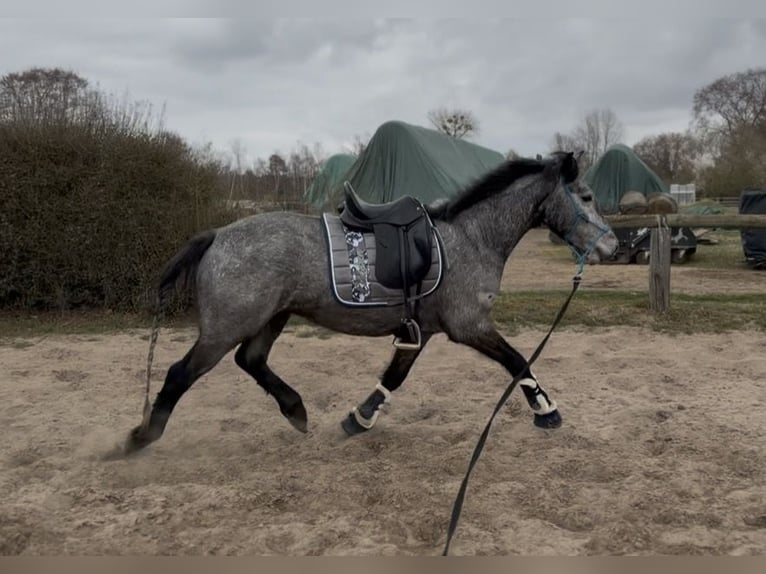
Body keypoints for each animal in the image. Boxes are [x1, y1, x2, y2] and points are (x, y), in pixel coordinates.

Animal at [122, 151, 618, 456]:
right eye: (587, 196)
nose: (612, 246)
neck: (471, 237)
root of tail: (216, 235)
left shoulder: (421, 333)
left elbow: (393, 379)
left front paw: (358, 419)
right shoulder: (470, 326)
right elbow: (518, 361)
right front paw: (547, 411)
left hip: (270, 318)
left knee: (251, 360)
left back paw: (296, 410)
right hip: (227, 328)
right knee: (180, 373)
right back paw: (141, 438)